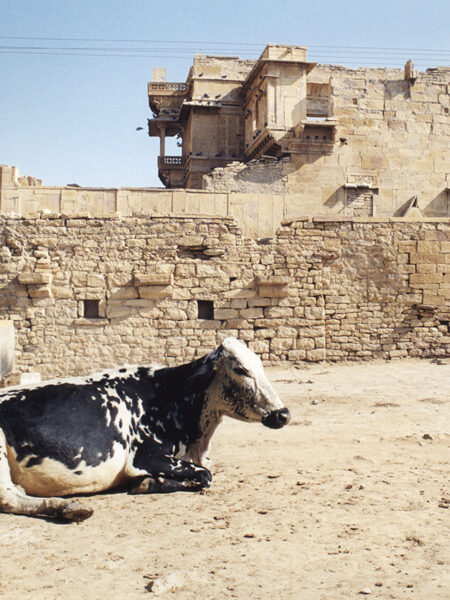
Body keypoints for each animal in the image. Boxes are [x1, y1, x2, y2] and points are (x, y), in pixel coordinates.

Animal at [0, 338, 290, 520]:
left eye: (260, 364)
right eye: (241, 369)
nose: (283, 414)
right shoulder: (145, 457)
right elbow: (205, 475)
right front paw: (148, 482)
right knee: (9, 498)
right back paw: (69, 508)